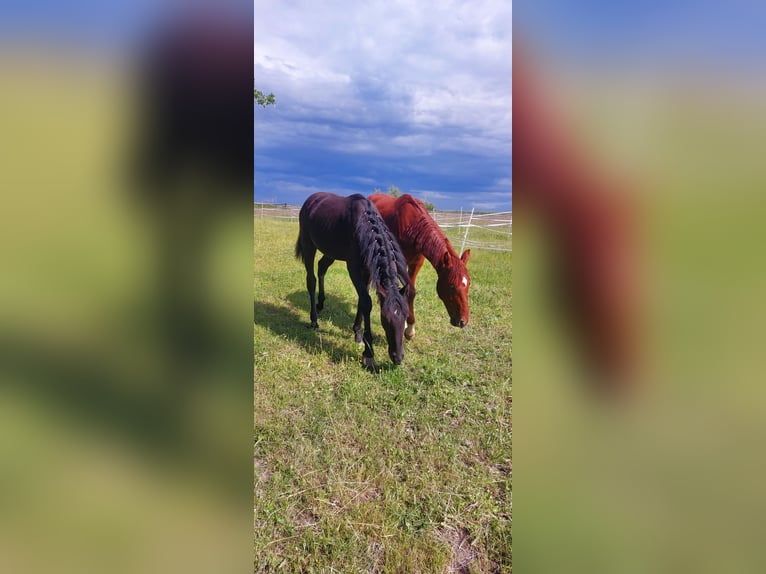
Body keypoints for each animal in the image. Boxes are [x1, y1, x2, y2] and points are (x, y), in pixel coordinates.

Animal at [294, 192, 411, 368]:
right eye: (385, 319)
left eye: (405, 317)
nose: (398, 357)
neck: (365, 226)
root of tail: (311, 200)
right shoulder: (354, 268)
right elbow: (366, 302)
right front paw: (368, 353)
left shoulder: (368, 268)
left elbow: (362, 301)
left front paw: (357, 333)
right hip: (309, 245)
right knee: (311, 280)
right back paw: (314, 320)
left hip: (330, 251)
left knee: (322, 268)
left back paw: (320, 303)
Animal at [368, 193, 471, 340]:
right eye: (451, 286)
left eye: (468, 284)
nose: (463, 321)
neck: (413, 227)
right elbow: (409, 291)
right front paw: (409, 329)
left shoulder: (416, 264)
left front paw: (406, 324)